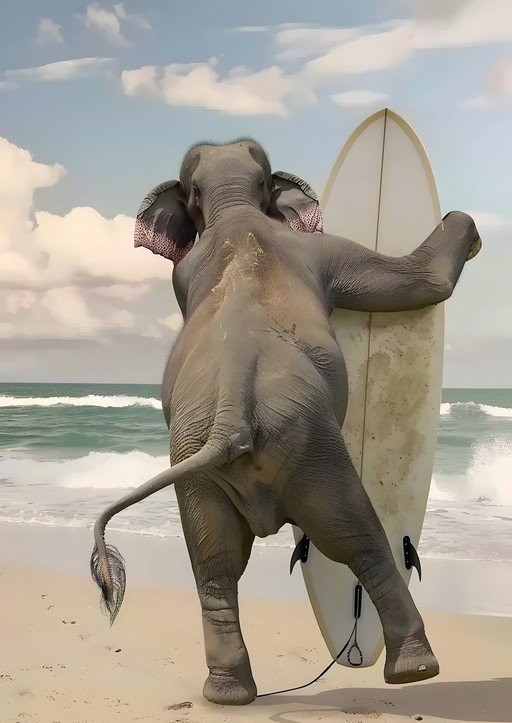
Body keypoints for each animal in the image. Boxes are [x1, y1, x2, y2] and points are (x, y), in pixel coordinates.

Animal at [90, 138, 481, 706]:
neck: (234, 210)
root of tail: (231, 413)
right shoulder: (321, 251)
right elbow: (415, 282)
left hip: (196, 461)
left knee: (214, 565)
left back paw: (228, 695)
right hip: (313, 444)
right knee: (356, 537)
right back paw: (415, 668)